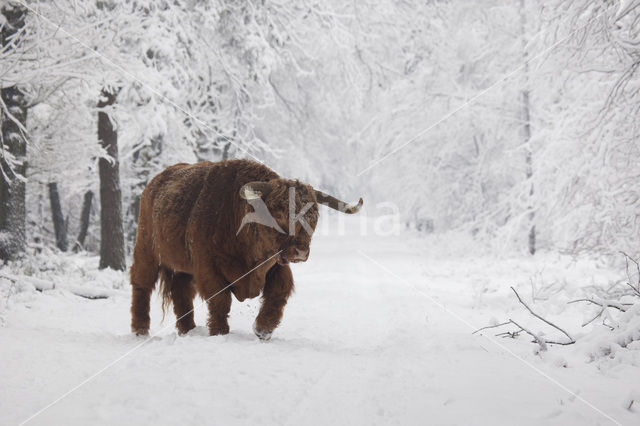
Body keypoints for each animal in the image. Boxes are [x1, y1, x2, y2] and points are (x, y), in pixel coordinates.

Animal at [131, 158, 362, 342]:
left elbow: (280, 291)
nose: (300, 251)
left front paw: (263, 329)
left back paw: (188, 330)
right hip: (146, 249)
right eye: (279, 213)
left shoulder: (274, 264)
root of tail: (155, 183)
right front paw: (219, 332)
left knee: (181, 291)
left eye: (313, 216)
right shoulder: (208, 267)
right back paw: (140, 330)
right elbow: (220, 300)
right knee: (142, 284)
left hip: (181, 265)